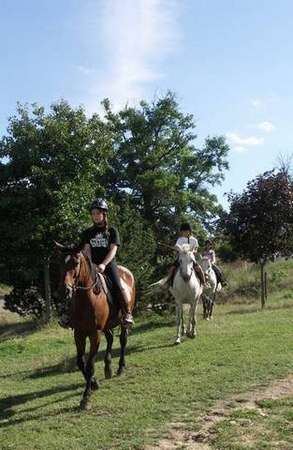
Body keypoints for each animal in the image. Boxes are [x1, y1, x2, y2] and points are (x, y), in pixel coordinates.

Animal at [56, 244, 135, 410]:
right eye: (60, 264)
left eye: (76, 263)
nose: (63, 291)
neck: (87, 298)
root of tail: (127, 272)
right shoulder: (79, 333)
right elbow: (81, 363)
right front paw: (93, 383)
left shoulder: (94, 333)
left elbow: (90, 365)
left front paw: (86, 398)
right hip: (107, 325)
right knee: (110, 339)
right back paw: (108, 368)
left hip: (122, 322)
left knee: (123, 341)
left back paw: (120, 368)